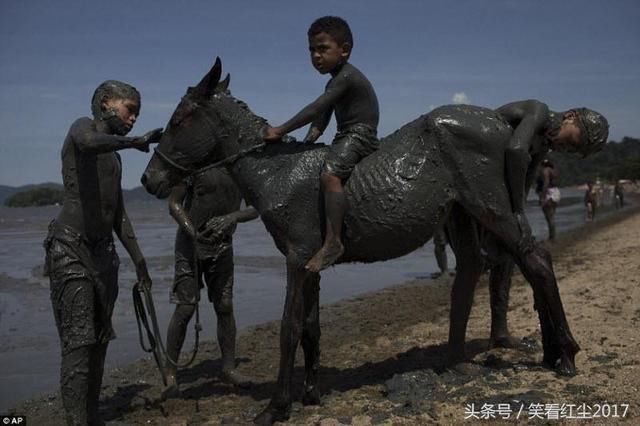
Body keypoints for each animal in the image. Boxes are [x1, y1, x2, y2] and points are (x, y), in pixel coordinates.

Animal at [141, 58, 580, 424]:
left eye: (179, 119)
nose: (149, 180)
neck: (275, 172)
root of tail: (499, 120)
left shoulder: (297, 259)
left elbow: (289, 328)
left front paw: (277, 406)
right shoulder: (310, 265)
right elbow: (311, 328)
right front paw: (311, 394)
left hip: (492, 208)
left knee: (536, 261)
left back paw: (565, 354)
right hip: (462, 214)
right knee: (478, 270)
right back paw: (474, 359)